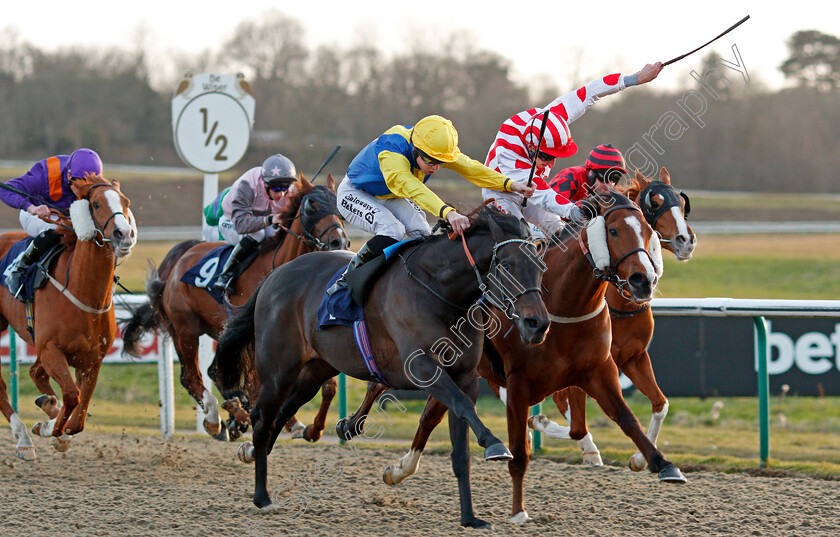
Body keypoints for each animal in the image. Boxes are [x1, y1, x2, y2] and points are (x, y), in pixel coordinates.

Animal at [0, 174, 136, 458]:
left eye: (126, 202)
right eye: (95, 204)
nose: (125, 234)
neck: (81, 292)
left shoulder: (91, 360)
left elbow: (78, 418)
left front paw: (54, 426)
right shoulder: (51, 349)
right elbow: (73, 396)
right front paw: (46, 428)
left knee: (36, 373)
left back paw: (48, 405)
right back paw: (23, 439)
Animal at [120, 176, 346, 440]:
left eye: (339, 204)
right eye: (312, 206)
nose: (338, 240)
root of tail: (179, 258)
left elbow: (328, 386)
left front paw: (312, 427)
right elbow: (260, 385)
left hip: (218, 330)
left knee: (215, 372)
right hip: (185, 328)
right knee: (192, 377)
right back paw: (217, 418)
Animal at [213, 204, 548, 528]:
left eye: (540, 267)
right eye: (507, 265)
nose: (538, 324)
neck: (439, 290)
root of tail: (273, 276)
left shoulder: (463, 376)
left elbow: (461, 449)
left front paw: (470, 518)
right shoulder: (424, 369)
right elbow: (464, 407)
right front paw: (495, 444)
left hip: (315, 369)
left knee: (281, 413)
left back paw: (254, 454)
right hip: (278, 369)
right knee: (262, 420)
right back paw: (262, 495)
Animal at [536, 168, 700, 468]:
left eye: (682, 204)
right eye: (654, 203)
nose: (686, 241)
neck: (619, 306)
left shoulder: (633, 356)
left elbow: (660, 404)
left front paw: (640, 458)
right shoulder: (585, 366)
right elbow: (575, 420)